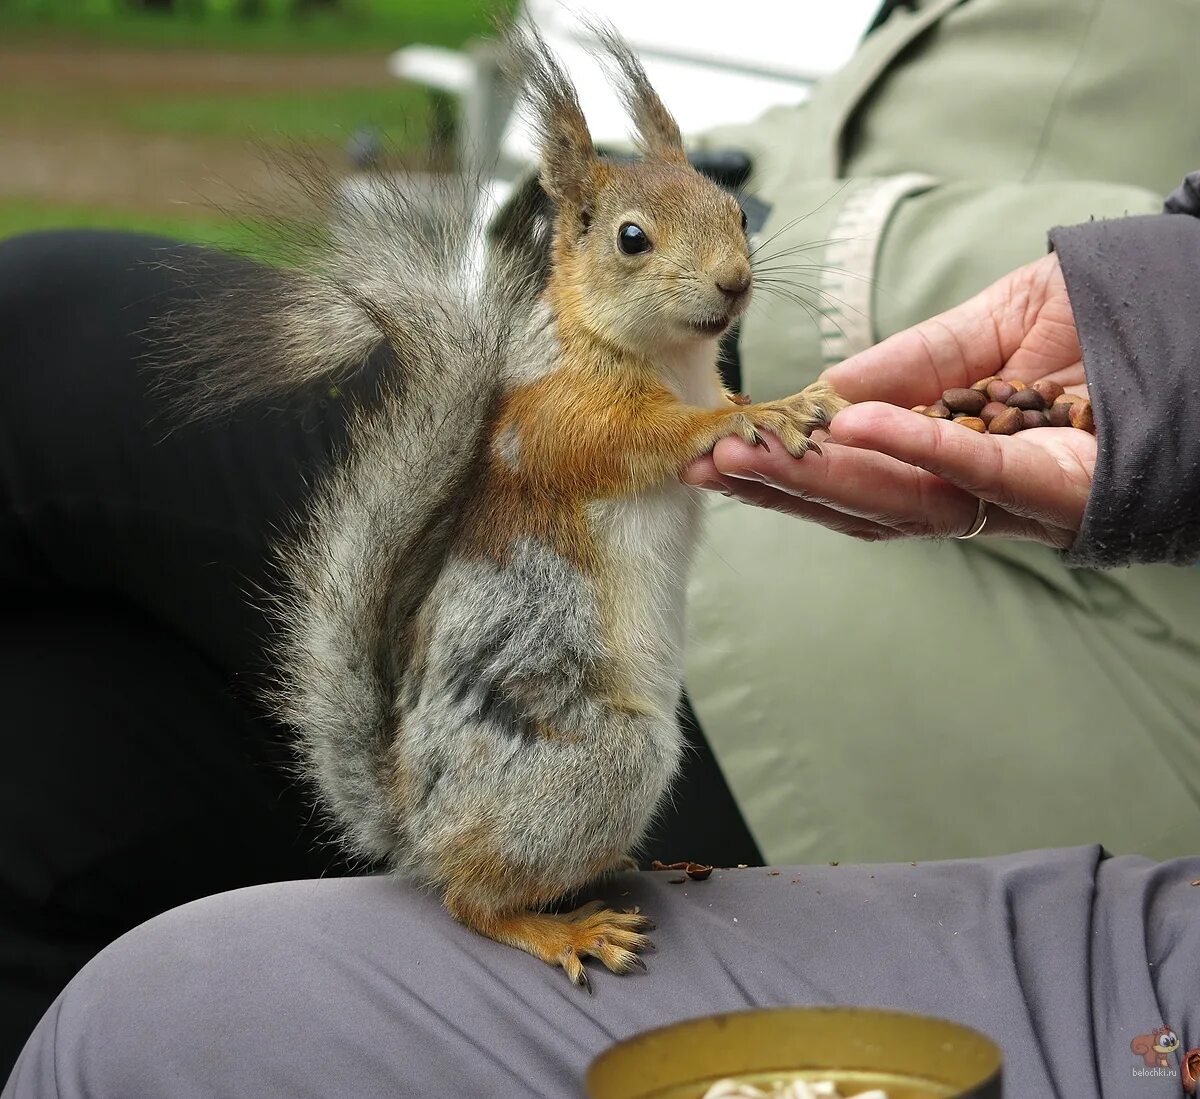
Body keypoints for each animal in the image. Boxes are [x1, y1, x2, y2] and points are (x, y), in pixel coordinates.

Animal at [159, 23, 849, 988]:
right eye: (632, 239)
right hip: (604, 761)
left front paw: (786, 397)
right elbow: (657, 436)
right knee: (469, 899)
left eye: (738, 212)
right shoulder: (567, 424)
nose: (734, 284)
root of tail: (414, 828)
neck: (665, 357)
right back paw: (561, 928)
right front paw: (761, 413)